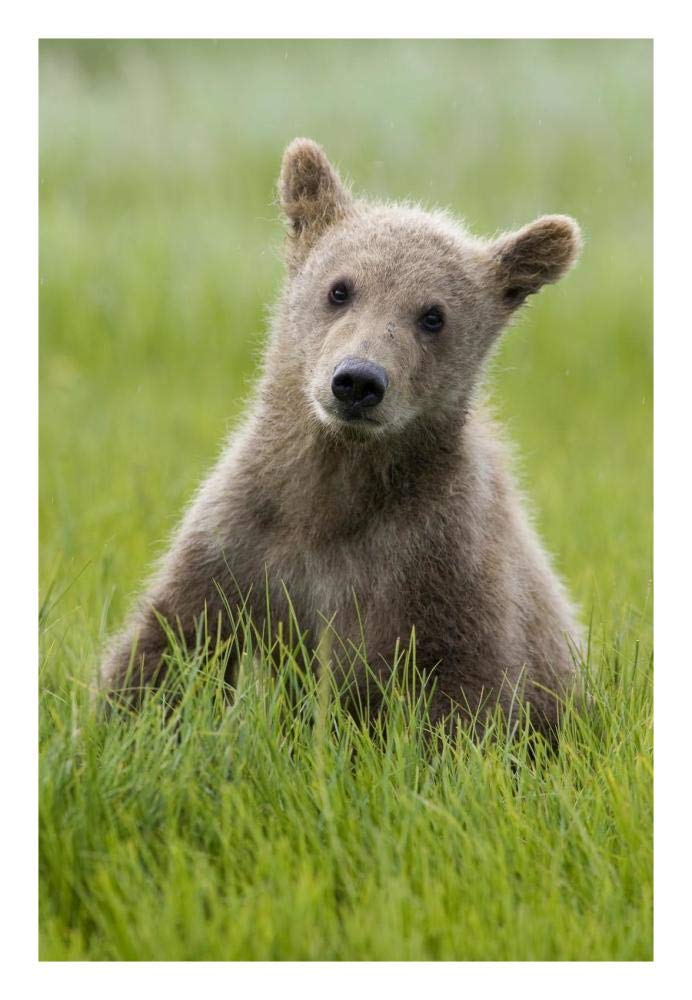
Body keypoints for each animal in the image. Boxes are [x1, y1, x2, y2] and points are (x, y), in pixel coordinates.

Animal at [100, 137, 583, 738]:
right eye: (340, 289)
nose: (358, 381)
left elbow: (465, 692)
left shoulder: (443, 565)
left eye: (433, 315)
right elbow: (171, 642)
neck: (333, 491)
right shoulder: (242, 542)